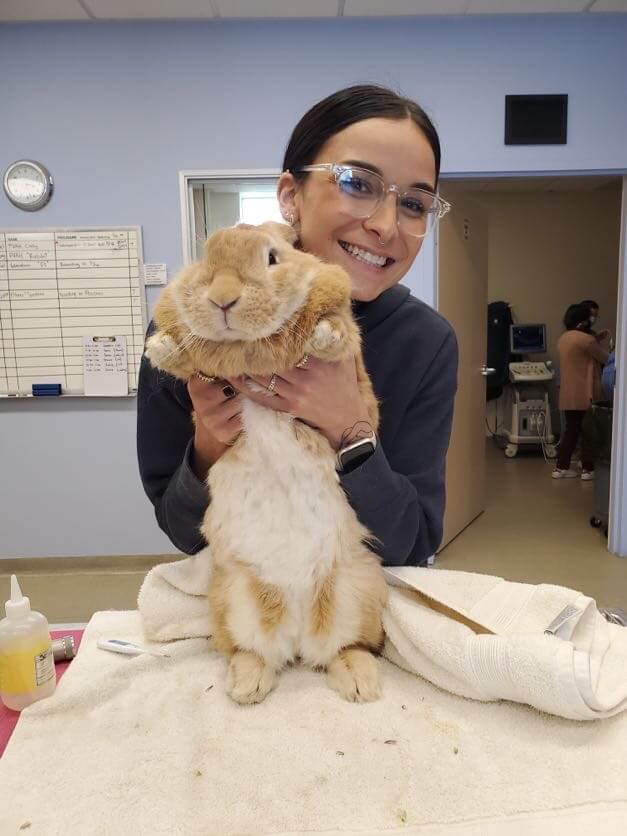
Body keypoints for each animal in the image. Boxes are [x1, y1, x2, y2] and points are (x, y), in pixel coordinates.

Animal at [145, 224, 388, 704]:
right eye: (206, 260)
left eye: (272, 257)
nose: (223, 298)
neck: (247, 346)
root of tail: (296, 628)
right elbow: (179, 351)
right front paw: (157, 348)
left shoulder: (345, 332)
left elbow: (339, 330)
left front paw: (323, 338)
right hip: (233, 599)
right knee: (252, 650)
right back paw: (247, 684)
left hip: (357, 592)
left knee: (345, 646)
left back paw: (359, 683)